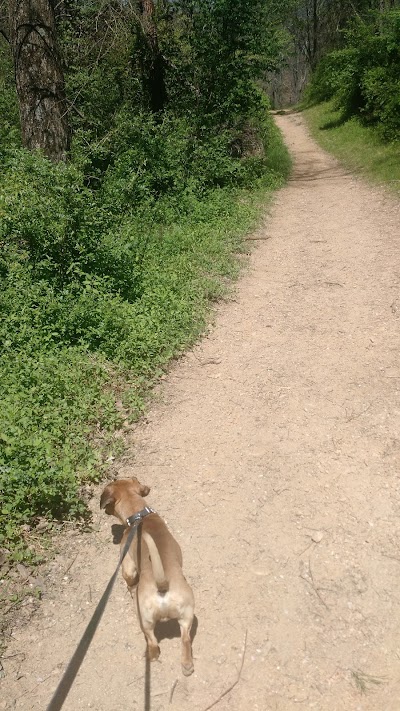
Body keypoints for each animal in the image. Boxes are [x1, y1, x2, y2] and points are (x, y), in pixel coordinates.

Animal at [99, 478, 194, 672]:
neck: (139, 516)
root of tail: (162, 586)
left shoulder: (127, 564)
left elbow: (129, 580)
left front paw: (130, 589)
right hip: (187, 617)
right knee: (185, 640)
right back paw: (187, 665)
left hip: (144, 620)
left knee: (153, 643)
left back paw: (151, 656)